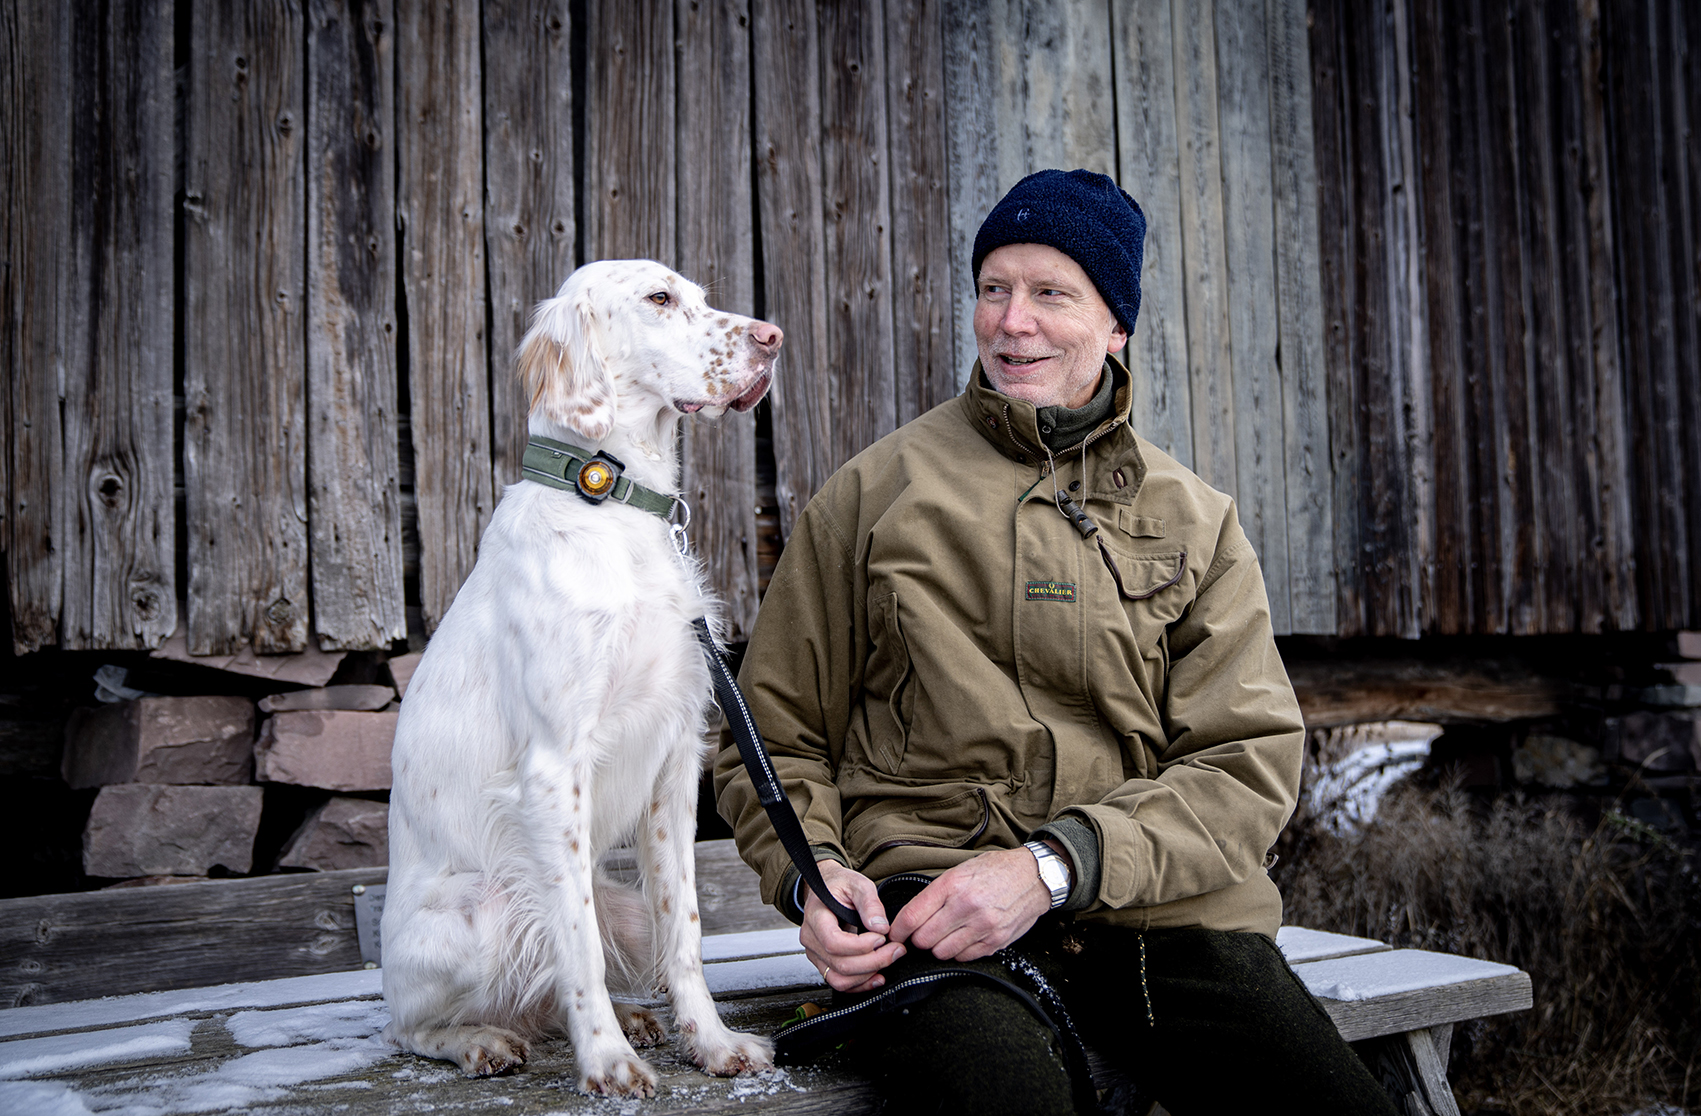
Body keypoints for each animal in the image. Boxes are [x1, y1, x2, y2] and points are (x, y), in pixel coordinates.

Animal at [382, 256, 779, 1095]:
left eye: (698, 296)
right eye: (659, 298)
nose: (772, 338)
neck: (614, 506)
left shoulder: (674, 761)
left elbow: (684, 929)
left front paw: (712, 1042)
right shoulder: (553, 769)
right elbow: (578, 947)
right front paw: (606, 1061)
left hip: (616, 901)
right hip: (479, 915)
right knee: (407, 1027)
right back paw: (480, 1041)